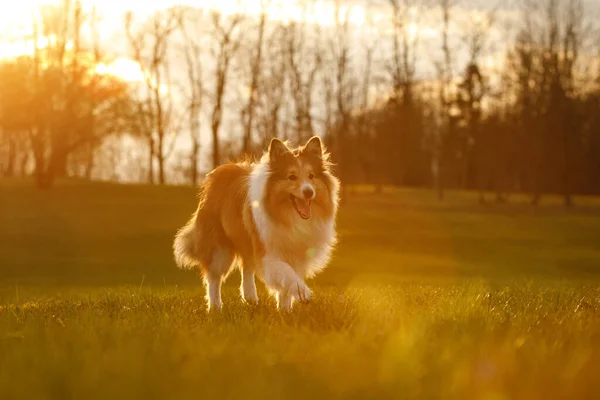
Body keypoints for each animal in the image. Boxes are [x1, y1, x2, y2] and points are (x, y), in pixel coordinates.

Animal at [173, 137, 340, 310]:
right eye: (292, 177)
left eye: (311, 176)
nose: (308, 192)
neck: (288, 216)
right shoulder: (267, 252)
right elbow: (287, 273)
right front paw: (304, 294)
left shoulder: (296, 254)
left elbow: (287, 283)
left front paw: (285, 309)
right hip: (219, 247)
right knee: (213, 278)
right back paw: (215, 307)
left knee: (246, 266)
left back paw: (250, 297)